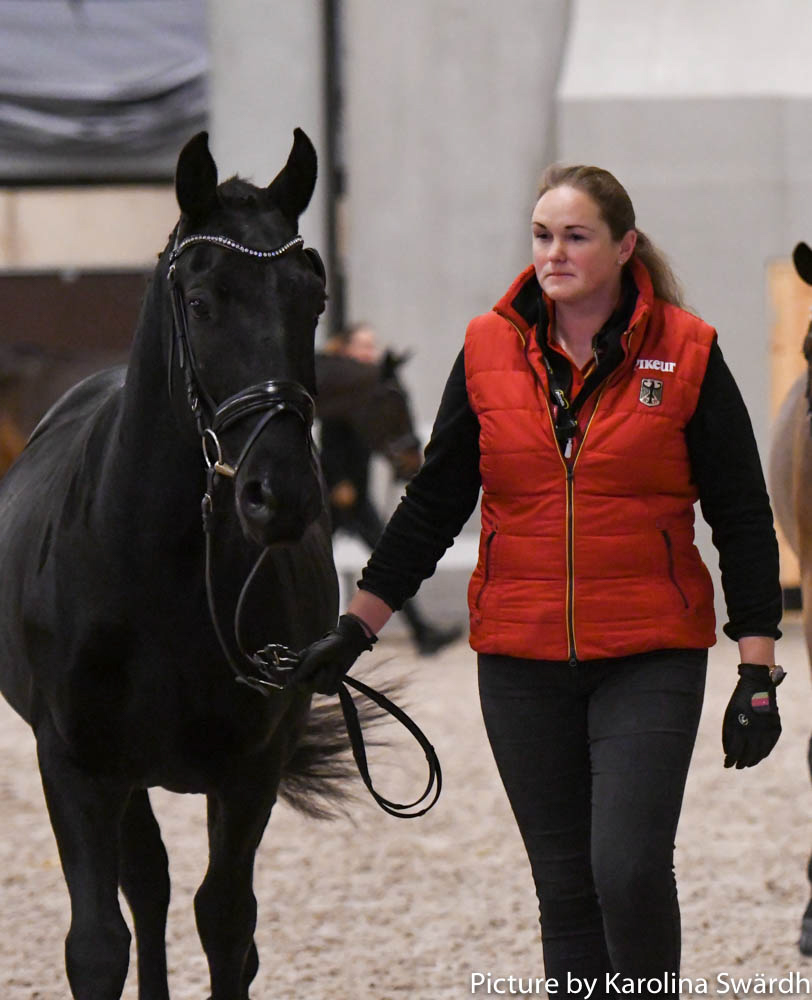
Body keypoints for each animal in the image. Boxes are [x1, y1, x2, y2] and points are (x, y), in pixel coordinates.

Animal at [0, 128, 350, 1000]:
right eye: (201, 303)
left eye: (313, 299)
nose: (279, 495)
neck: (156, 571)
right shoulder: (75, 765)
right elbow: (98, 944)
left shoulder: (250, 770)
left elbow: (226, 924)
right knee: (146, 886)